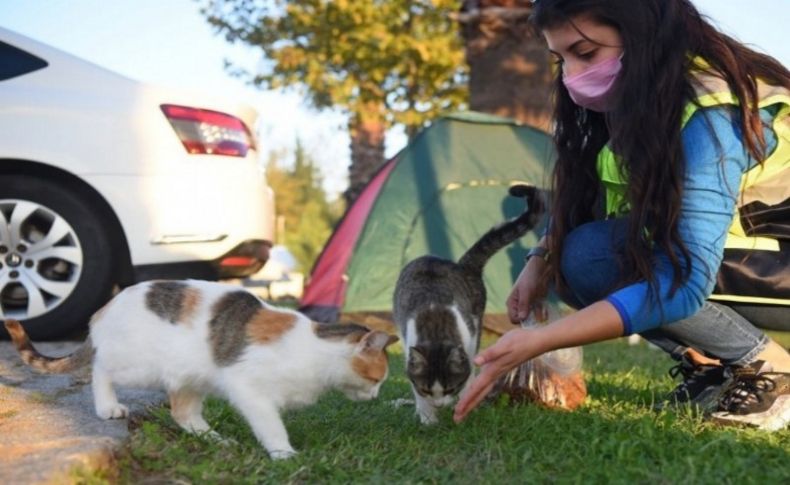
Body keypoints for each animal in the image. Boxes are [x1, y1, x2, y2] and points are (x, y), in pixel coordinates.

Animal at [3, 280, 400, 458]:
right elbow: (271, 425)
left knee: (183, 413)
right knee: (100, 367)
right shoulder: (248, 388)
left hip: (191, 377)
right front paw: (284, 454)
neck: (316, 348)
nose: (376, 396)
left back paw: (216, 439)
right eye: (377, 378)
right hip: (138, 365)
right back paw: (107, 406)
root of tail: (103, 309)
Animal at [394, 183, 544, 422]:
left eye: (450, 388)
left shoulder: (471, 337)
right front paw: (427, 417)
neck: (436, 326)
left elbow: (470, 372)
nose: (439, 404)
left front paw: (465, 403)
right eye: (426, 389)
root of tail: (462, 265)